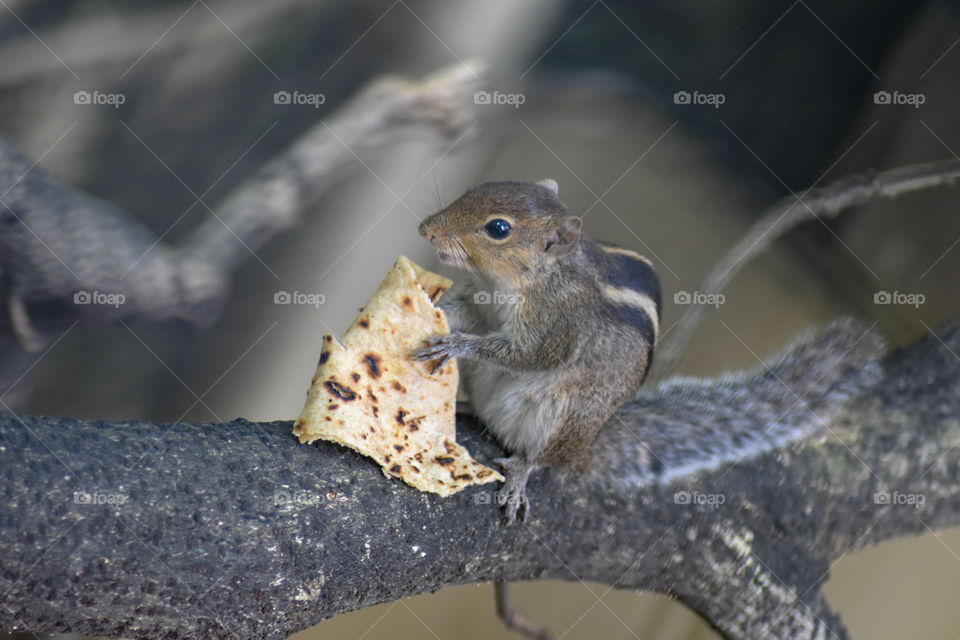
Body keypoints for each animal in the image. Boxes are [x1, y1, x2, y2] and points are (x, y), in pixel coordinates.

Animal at [414, 178, 661, 524]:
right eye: (476, 190)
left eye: (499, 228)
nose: (426, 229)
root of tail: (582, 451)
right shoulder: (476, 302)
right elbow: (460, 313)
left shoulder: (557, 324)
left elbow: (529, 354)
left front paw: (457, 344)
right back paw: (464, 409)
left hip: (567, 419)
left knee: (541, 458)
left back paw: (519, 474)